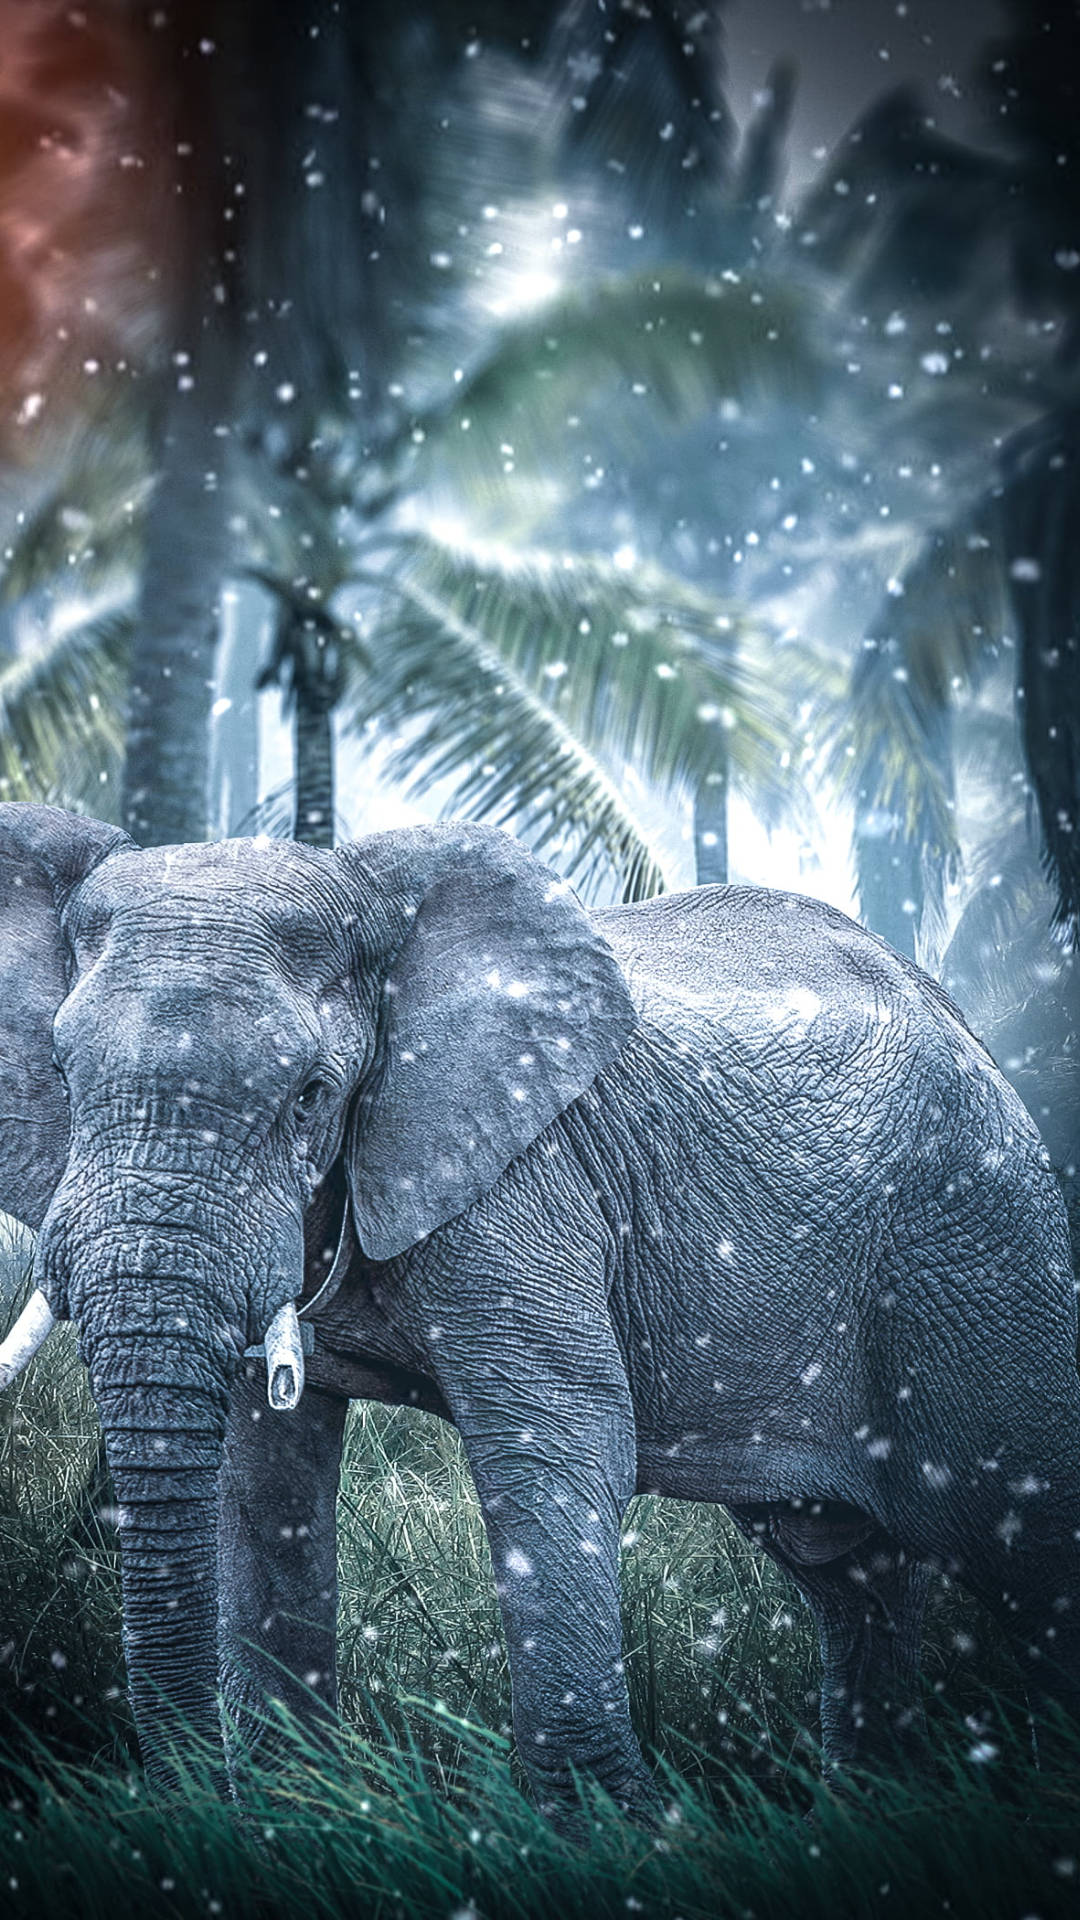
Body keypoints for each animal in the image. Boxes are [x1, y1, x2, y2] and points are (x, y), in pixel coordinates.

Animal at [1, 800, 1079, 1824]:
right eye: (62, 1073)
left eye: (311, 1094)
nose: (194, 1795)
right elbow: (261, 1479)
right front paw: (289, 1808)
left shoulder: (526, 1179)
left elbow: (558, 1445)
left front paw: (615, 1833)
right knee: (850, 1569)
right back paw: (873, 1811)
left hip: (979, 1250)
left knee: (1022, 1534)